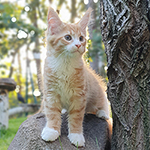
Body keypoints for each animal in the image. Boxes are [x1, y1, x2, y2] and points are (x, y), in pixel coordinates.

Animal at [41, 6, 110, 146]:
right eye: (67, 37)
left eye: (81, 38)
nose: (78, 45)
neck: (65, 63)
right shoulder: (50, 92)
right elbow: (52, 113)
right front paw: (51, 130)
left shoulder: (79, 95)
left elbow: (76, 117)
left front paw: (76, 135)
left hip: (97, 91)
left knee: (102, 103)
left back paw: (103, 113)